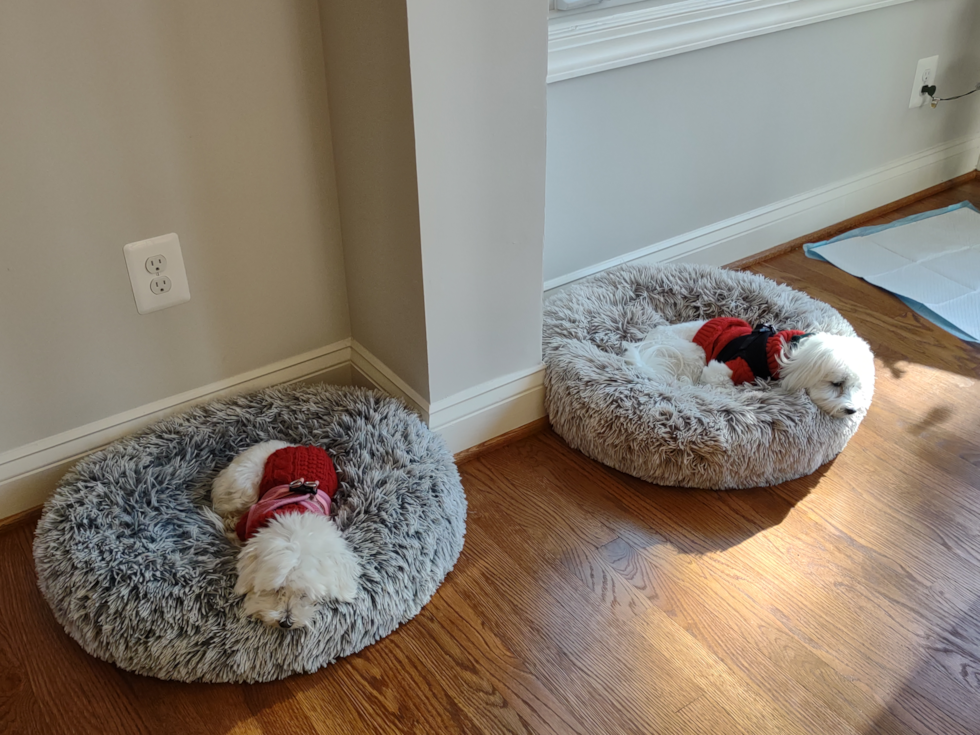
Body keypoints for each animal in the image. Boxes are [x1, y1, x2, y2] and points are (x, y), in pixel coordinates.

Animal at [624, 318, 876, 420]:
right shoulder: (720, 369)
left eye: (857, 387)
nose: (852, 411)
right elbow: (719, 385)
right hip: (694, 354)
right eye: (836, 383)